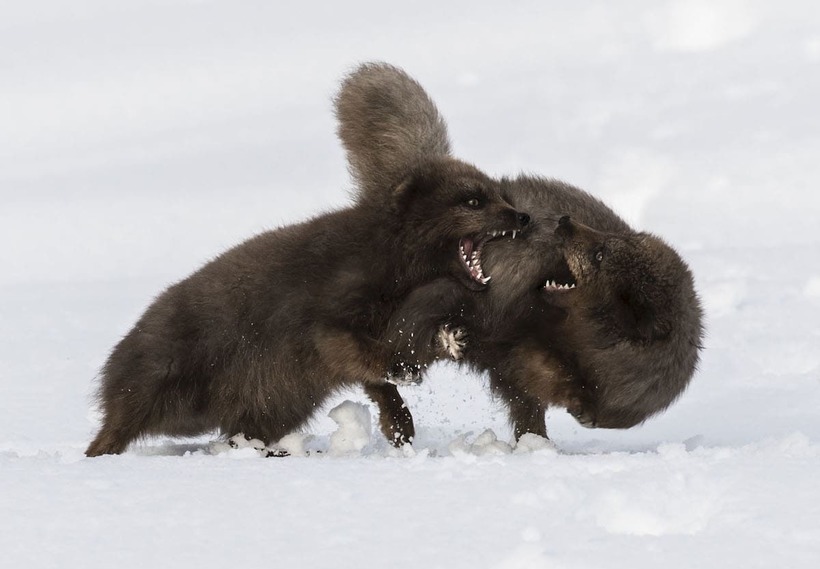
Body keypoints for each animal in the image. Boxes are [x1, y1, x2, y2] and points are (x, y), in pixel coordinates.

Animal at [86, 67, 528, 458]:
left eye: (498, 193)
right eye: (472, 200)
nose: (522, 217)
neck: (393, 260)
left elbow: (377, 379)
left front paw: (401, 417)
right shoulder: (334, 309)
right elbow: (352, 350)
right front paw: (401, 373)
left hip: (274, 404)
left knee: (242, 433)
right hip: (166, 379)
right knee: (119, 427)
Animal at [336, 64, 700, 442]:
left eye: (600, 255)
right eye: (607, 243)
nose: (563, 223)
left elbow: (535, 401)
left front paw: (541, 439)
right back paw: (398, 420)